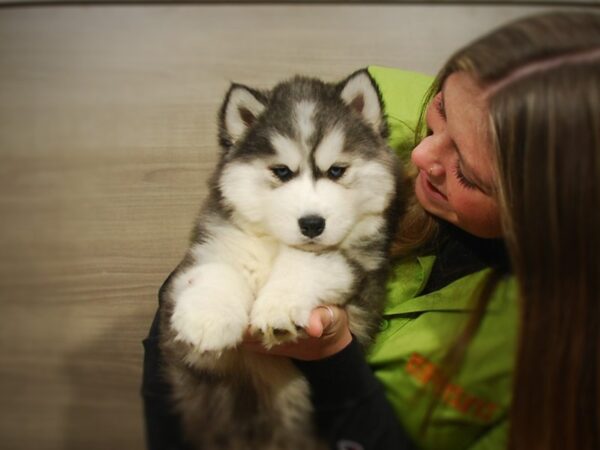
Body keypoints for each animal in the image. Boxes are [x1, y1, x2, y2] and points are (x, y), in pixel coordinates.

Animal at [158, 68, 404, 448]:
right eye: (282, 172)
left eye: (336, 171)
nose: (313, 224)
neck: (276, 244)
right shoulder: (213, 247)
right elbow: (220, 269)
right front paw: (208, 316)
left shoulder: (360, 269)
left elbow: (310, 263)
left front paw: (280, 306)